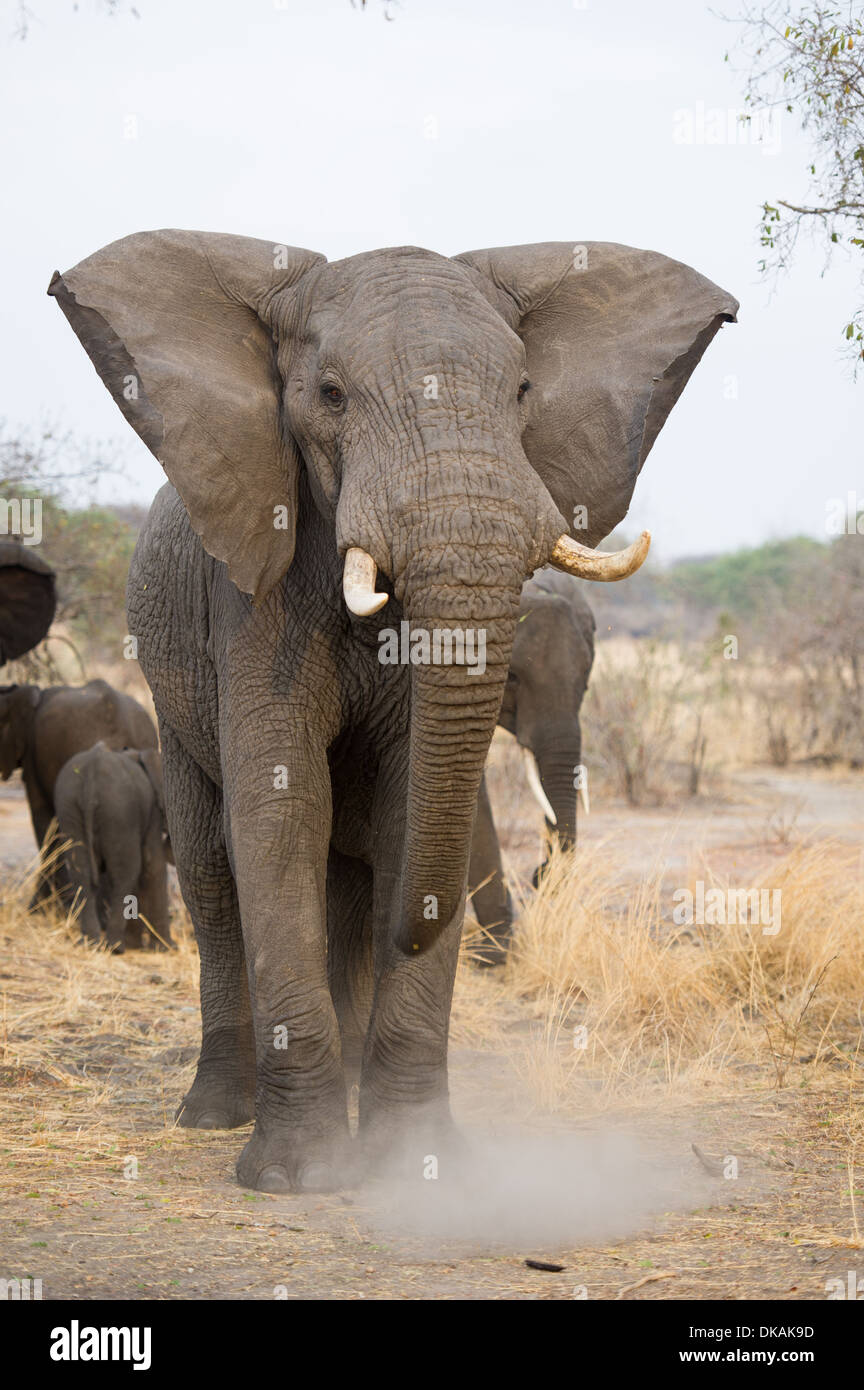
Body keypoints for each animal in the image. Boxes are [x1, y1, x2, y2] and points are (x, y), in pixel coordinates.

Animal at [54, 742, 173, 952]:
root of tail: (91, 773)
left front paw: (137, 946)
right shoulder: (150, 812)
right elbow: (153, 866)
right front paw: (165, 948)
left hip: (69, 807)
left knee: (81, 873)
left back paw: (91, 943)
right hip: (119, 811)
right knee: (124, 874)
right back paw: (115, 947)